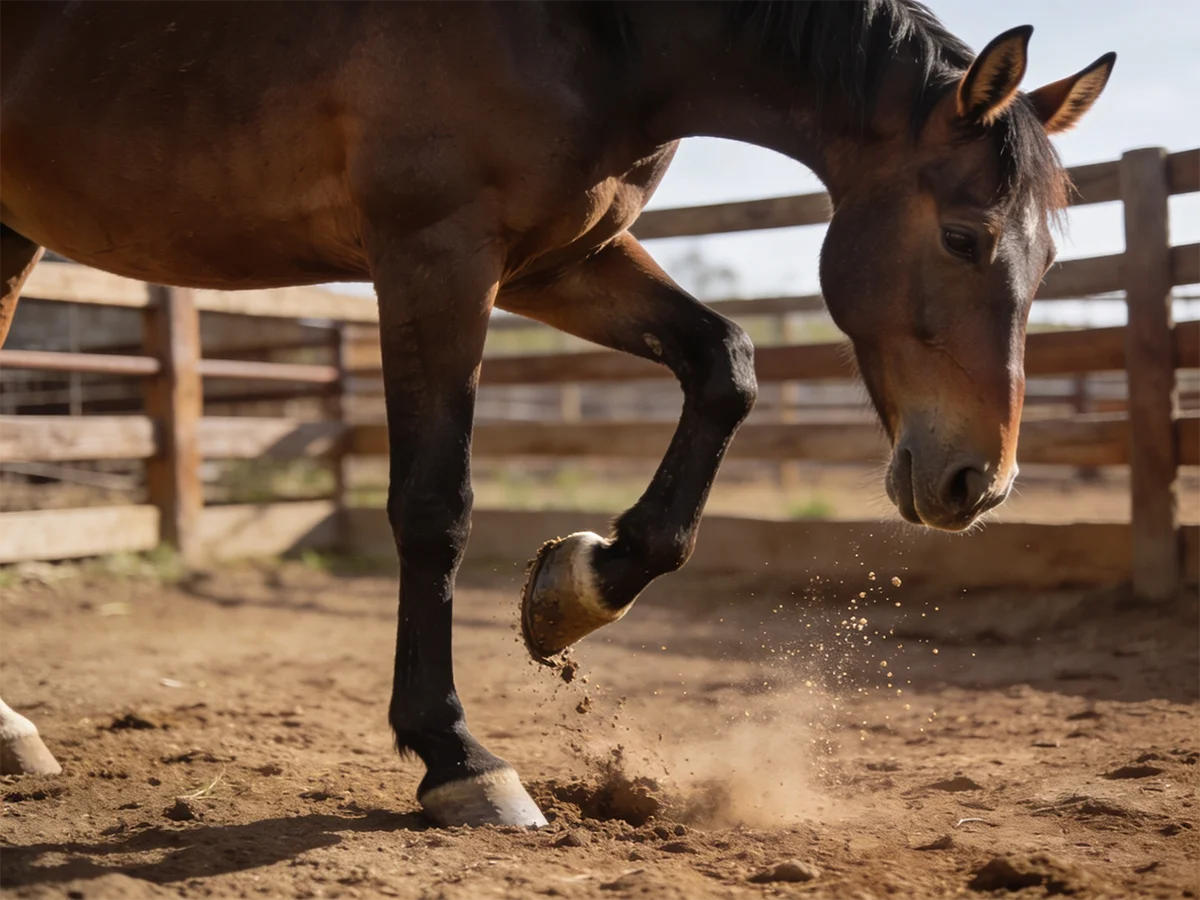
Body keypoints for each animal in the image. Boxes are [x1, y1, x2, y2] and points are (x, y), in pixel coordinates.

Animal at [0, 0, 1113, 827]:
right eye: (964, 237)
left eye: (1049, 261)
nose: (979, 483)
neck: (589, 29)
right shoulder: (437, 254)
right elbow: (434, 506)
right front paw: (458, 759)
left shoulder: (558, 261)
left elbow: (727, 366)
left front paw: (572, 592)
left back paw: (13, 730)